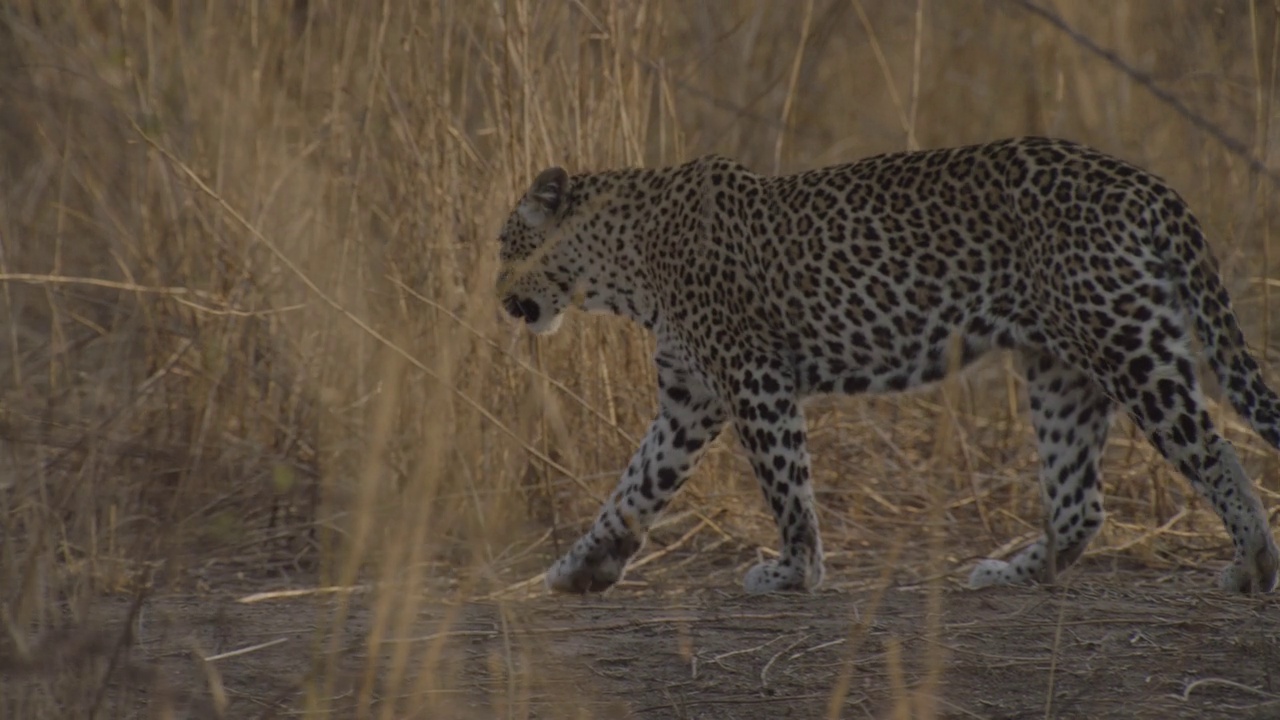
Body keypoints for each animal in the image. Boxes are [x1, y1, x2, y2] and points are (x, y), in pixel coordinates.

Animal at [491, 135, 1280, 594]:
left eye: (505, 245)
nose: (498, 299)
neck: (621, 266)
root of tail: (1147, 185)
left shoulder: (754, 378)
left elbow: (786, 486)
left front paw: (795, 571)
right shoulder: (690, 398)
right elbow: (635, 485)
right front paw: (581, 568)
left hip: (1127, 345)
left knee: (1214, 453)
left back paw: (1253, 564)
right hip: (1063, 369)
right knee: (1079, 501)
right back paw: (1009, 572)